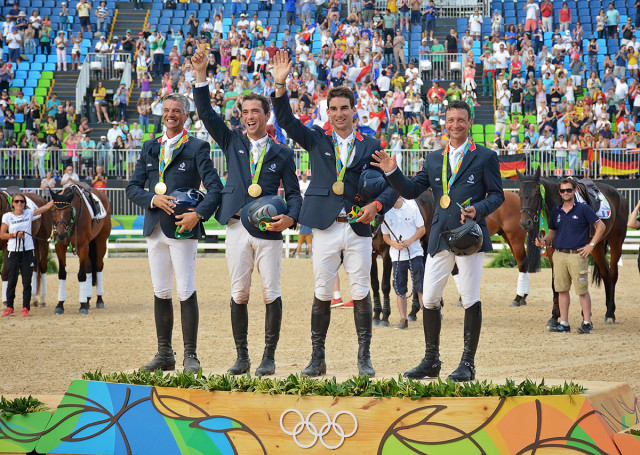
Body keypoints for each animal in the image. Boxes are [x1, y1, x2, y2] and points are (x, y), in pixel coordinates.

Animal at [49, 184, 112, 314]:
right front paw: (60, 305)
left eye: (69, 211)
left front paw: (82, 306)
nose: (61, 234)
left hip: (100, 242)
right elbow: (62, 274)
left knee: (98, 266)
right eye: (53, 210)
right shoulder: (60, 247)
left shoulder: (83, 246)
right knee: (89, 267)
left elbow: (82, 275)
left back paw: (99, 300)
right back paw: (87, 299)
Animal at [516, 168, 628, 328]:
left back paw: (610, 314)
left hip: (616, 242)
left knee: (613, 274)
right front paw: (554, 317)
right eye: (519, 194)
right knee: (605, 273)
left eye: (536, 193)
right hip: (597, 247)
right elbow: (555, 284)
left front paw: (584, 317)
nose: (525, 223)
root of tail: (619, 195)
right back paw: (608, 311)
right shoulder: (552, 251)